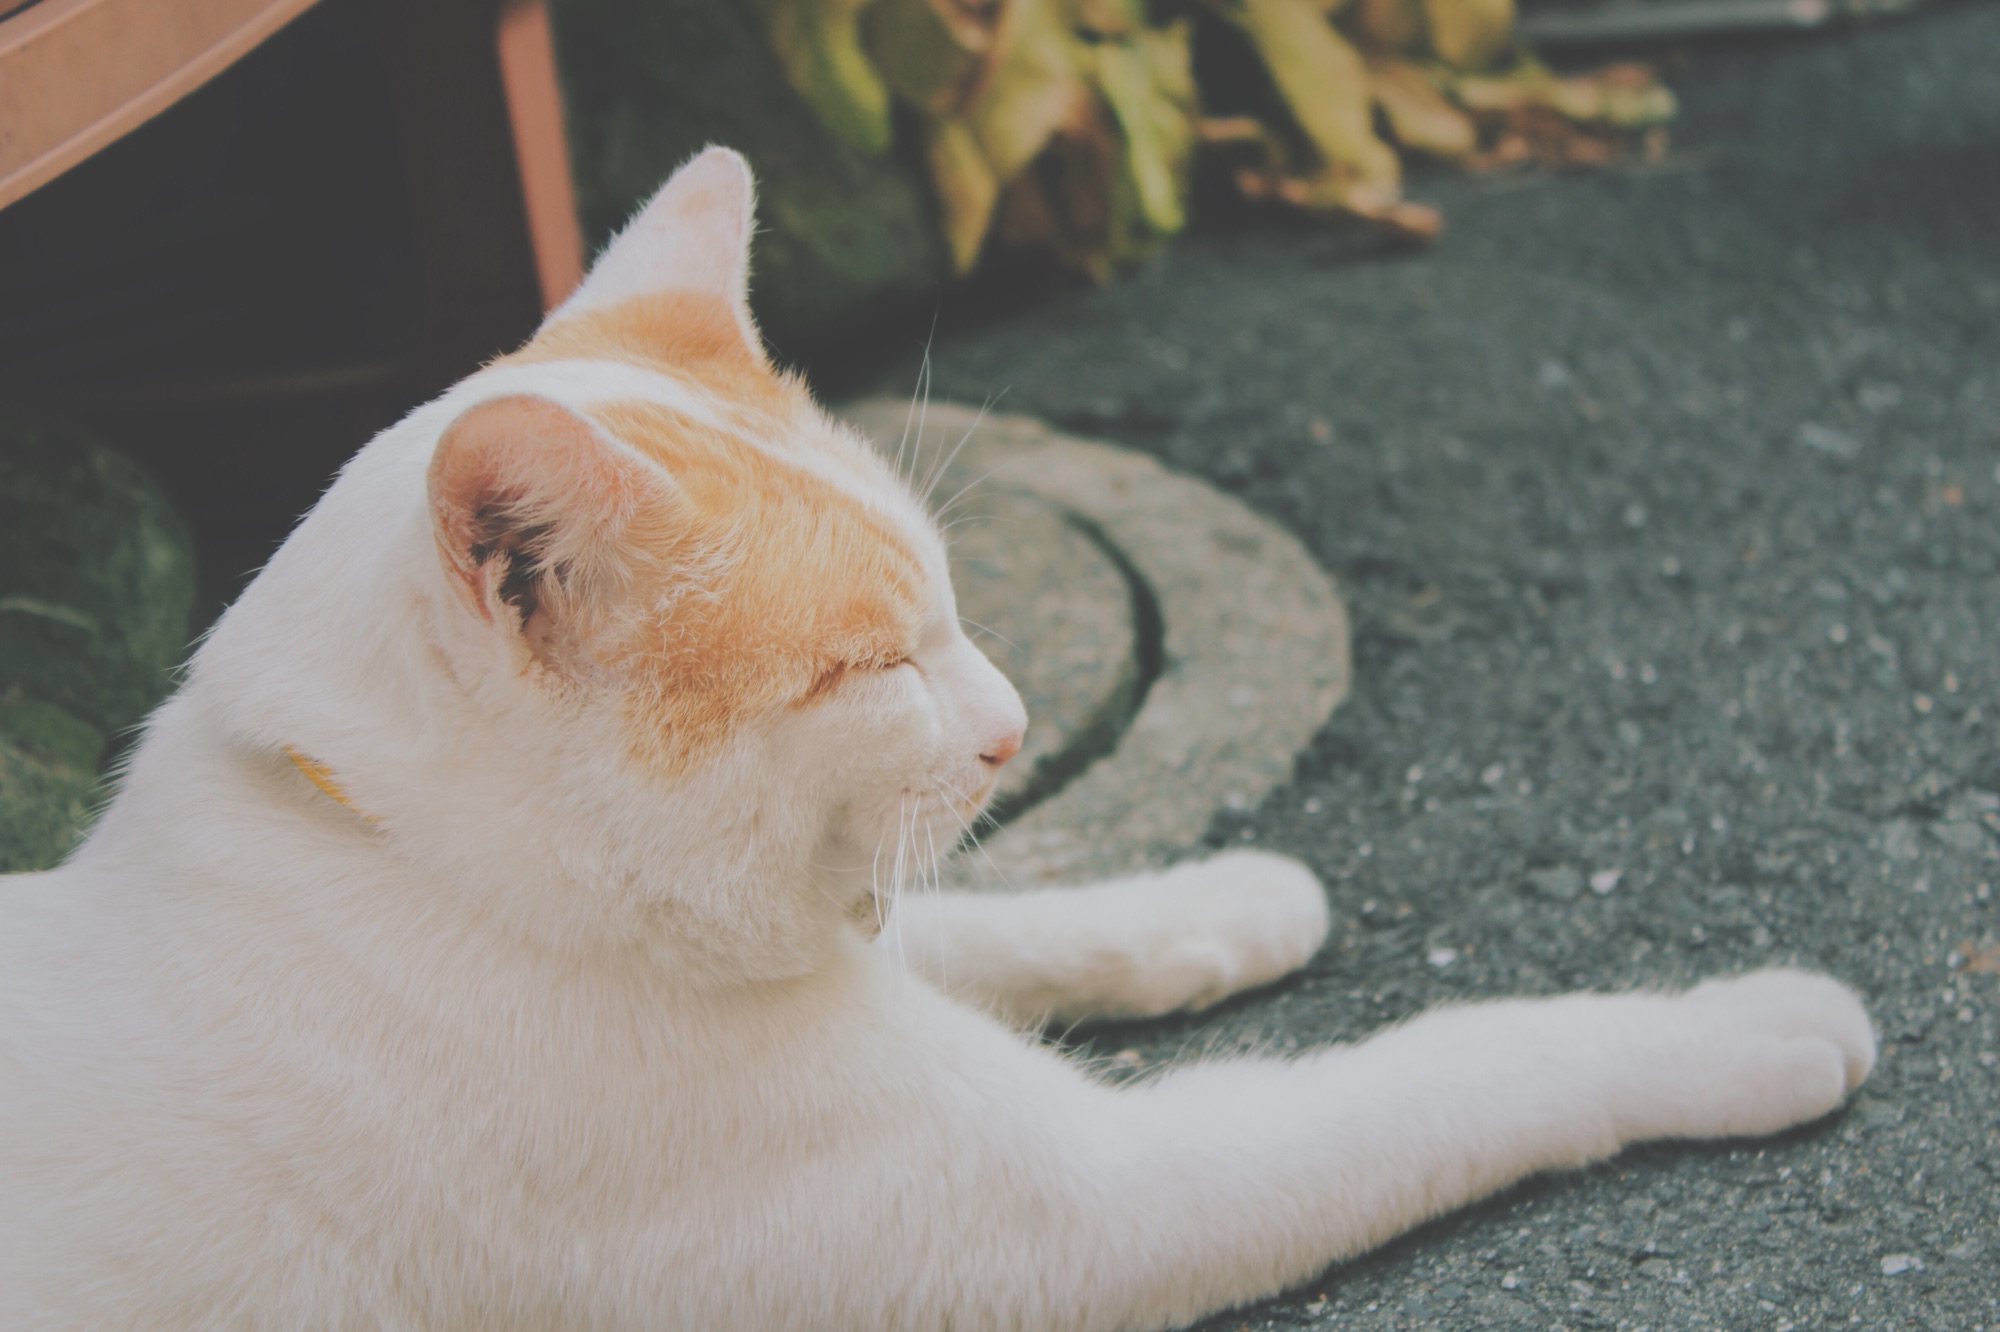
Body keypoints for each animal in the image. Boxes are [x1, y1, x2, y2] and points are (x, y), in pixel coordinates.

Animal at [0, 148, 1872, 1328]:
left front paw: (1230, 897)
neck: (405, 864)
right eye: (868, 668)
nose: (1013, 725)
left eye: (957, 605)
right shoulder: (1084, 1209)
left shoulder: (868, 952)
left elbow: (1023, 919)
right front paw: (1738, 1030)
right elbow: (1452, 1073)